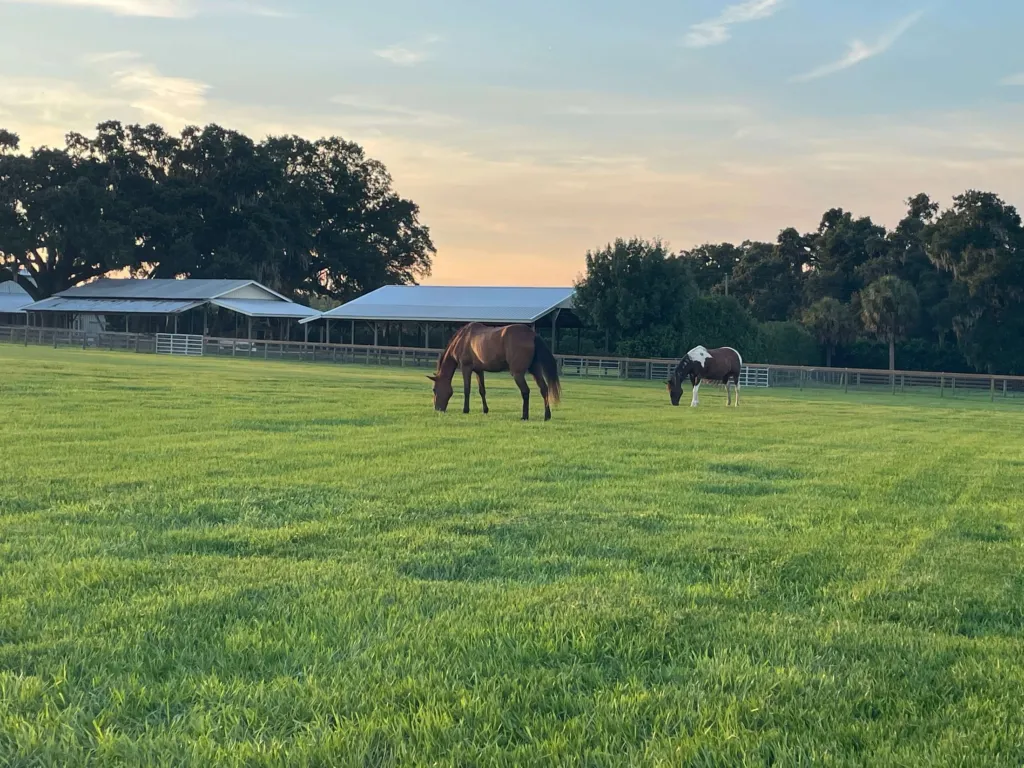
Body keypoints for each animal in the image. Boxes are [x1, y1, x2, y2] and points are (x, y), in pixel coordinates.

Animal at [428, 323, 562, 421]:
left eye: (434, 389)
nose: (437, 409)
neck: (463, 339)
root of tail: (533, 335)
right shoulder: (479, 370)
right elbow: (482, 391)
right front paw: (485, 410)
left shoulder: (466, 368)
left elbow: (467, 389)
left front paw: (465, 410)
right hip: (535, 370)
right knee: (544, 389)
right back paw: (547, 415)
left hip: (518, 374)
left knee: (525, 391)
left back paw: (524, 416)